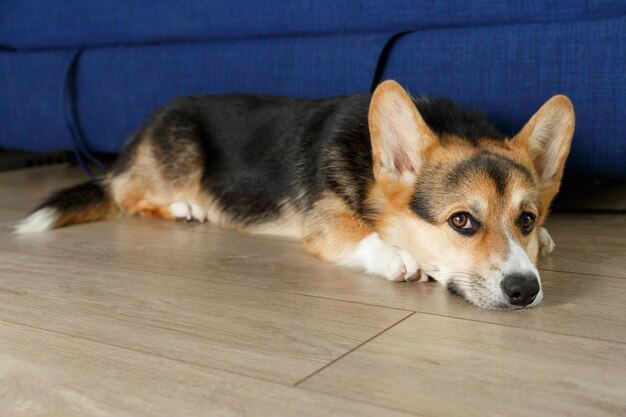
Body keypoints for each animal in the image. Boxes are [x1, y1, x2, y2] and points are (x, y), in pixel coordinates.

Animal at [14, 81, 572, 308]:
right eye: (461, 221)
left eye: (524, 219)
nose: (525, 291)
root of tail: (132, 143)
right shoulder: (323, 222)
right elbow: (359, 232)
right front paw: (396, 256)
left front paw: (544, 240)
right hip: (181, 154)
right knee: (130, 196)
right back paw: (184, 207)